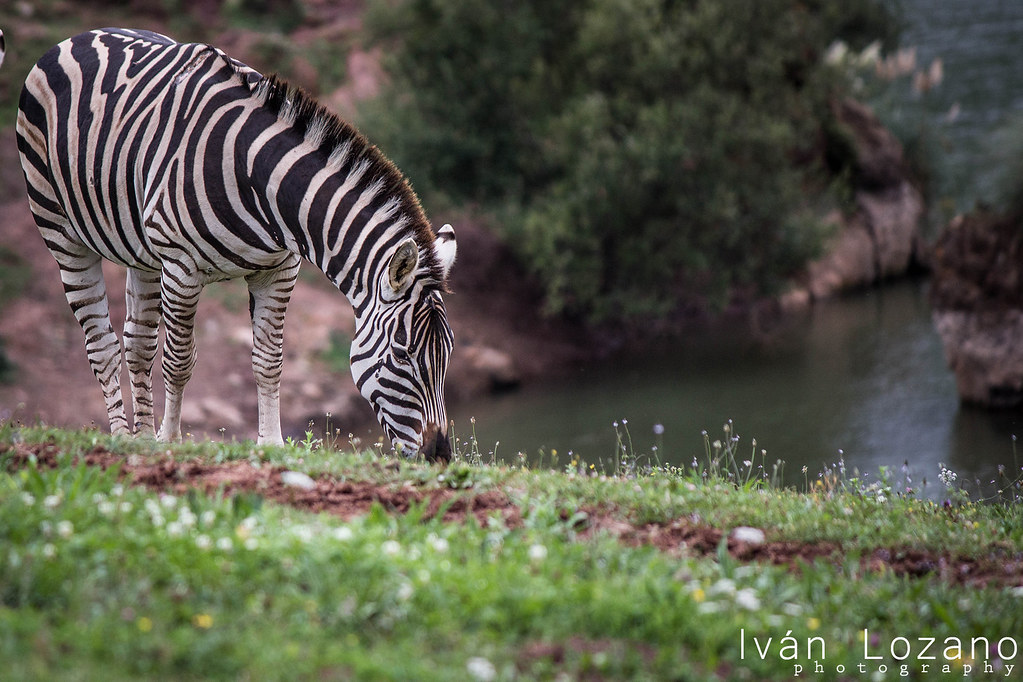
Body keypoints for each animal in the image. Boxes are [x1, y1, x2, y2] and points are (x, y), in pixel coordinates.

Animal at [12, 27, 457, 461]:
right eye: (401, 354)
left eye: (447, 353)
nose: (439, 455)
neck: (260, 182)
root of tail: (78, 37)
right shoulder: (182, 267)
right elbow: (179, 360)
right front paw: (171, 440)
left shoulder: (279, 270)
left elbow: (269, 360)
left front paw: (271, 444)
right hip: (62, 231)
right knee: (101, 343)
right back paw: (124, 437)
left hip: (142, 252)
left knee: (138, 342)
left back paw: (141, 438)